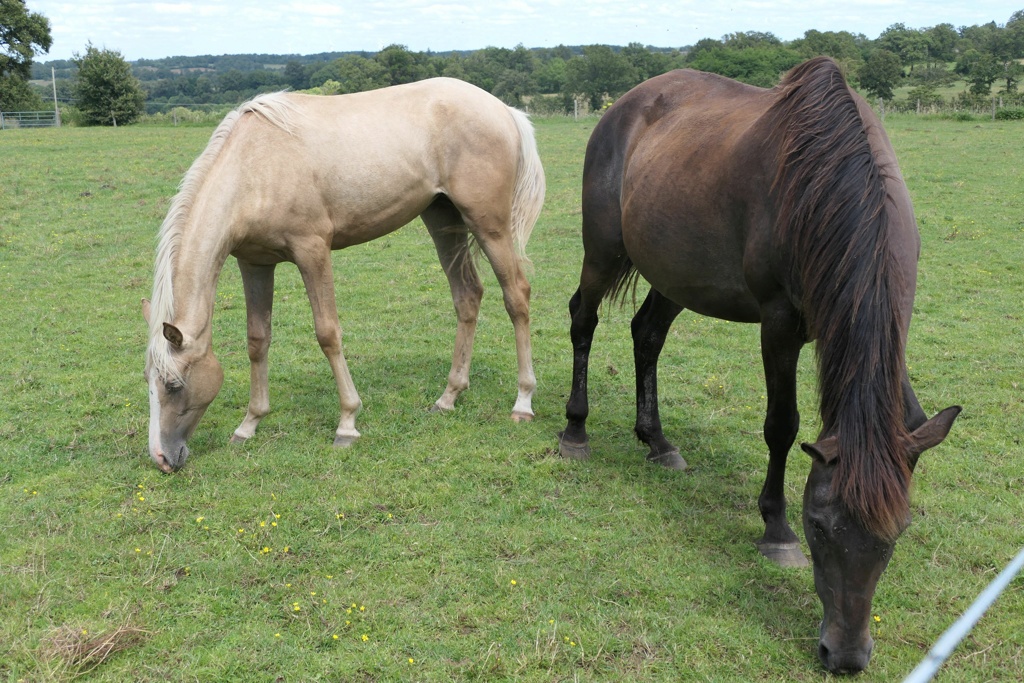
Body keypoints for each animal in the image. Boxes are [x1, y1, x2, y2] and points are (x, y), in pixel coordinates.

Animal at [146, 78, 544, 471]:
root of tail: (503, 110)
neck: (253, 168)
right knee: (467, 296)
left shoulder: (312, 251)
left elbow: (328, 334)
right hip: (443, 218)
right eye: (149, 380)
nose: (162, 458)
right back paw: (448, 397)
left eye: (174, 384)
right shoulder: (255, 263)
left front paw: (347, 423)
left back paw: (523, 402)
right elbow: (257, 340)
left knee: (517, 296)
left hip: (489, 225)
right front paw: (249, 424)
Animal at [557, 57, 954, 671]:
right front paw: (775, 530)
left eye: (897, 531)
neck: (830, 188)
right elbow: (781, 426)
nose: (845, 656)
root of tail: (626, 103)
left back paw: (658, 441)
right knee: (584, 319)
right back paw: (575, 429)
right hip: (602, 249)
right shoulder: (780, 322)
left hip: (675, 271)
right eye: (818, 525)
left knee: (647, 336)